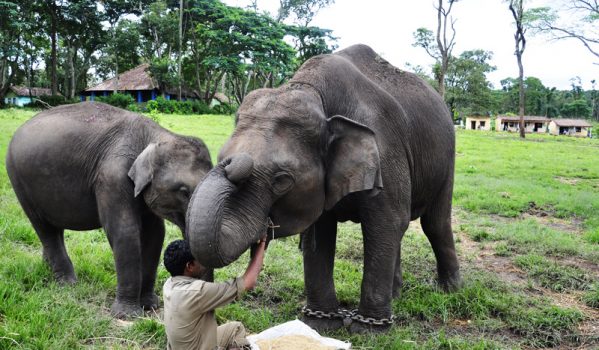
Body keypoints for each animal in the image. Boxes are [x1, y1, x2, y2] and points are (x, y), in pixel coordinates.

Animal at [6, 100, 213, 318]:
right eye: (183, 192)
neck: (154, 136)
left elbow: (155, 234)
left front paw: (149, 305)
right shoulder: (112, 176)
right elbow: (125, 232)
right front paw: (128, 315)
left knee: (54, 229)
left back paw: (47, 269)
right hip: (19, 180)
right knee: (44, 228)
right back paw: (67, 283)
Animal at [190, 45, 462, 332]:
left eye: (282, 180)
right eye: (221, 156)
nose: (230, 164)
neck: (311, 92)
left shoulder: (385, 151)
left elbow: (387, 221)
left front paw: (368, 330)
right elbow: (319, 233)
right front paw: (320, 325)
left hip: (448, 158)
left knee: (434, 223)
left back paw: (449, 290)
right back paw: (396, 295)